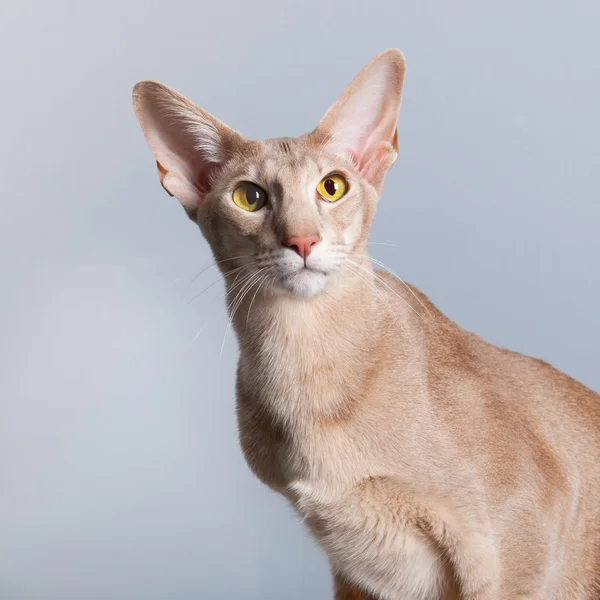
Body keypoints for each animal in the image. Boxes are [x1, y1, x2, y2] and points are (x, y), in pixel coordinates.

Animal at [132, 49, 600, 596]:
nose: (303, 241)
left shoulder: (522, 541)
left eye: (332, 187)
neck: (309, 371)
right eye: (249, 196)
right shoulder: (355, 573)